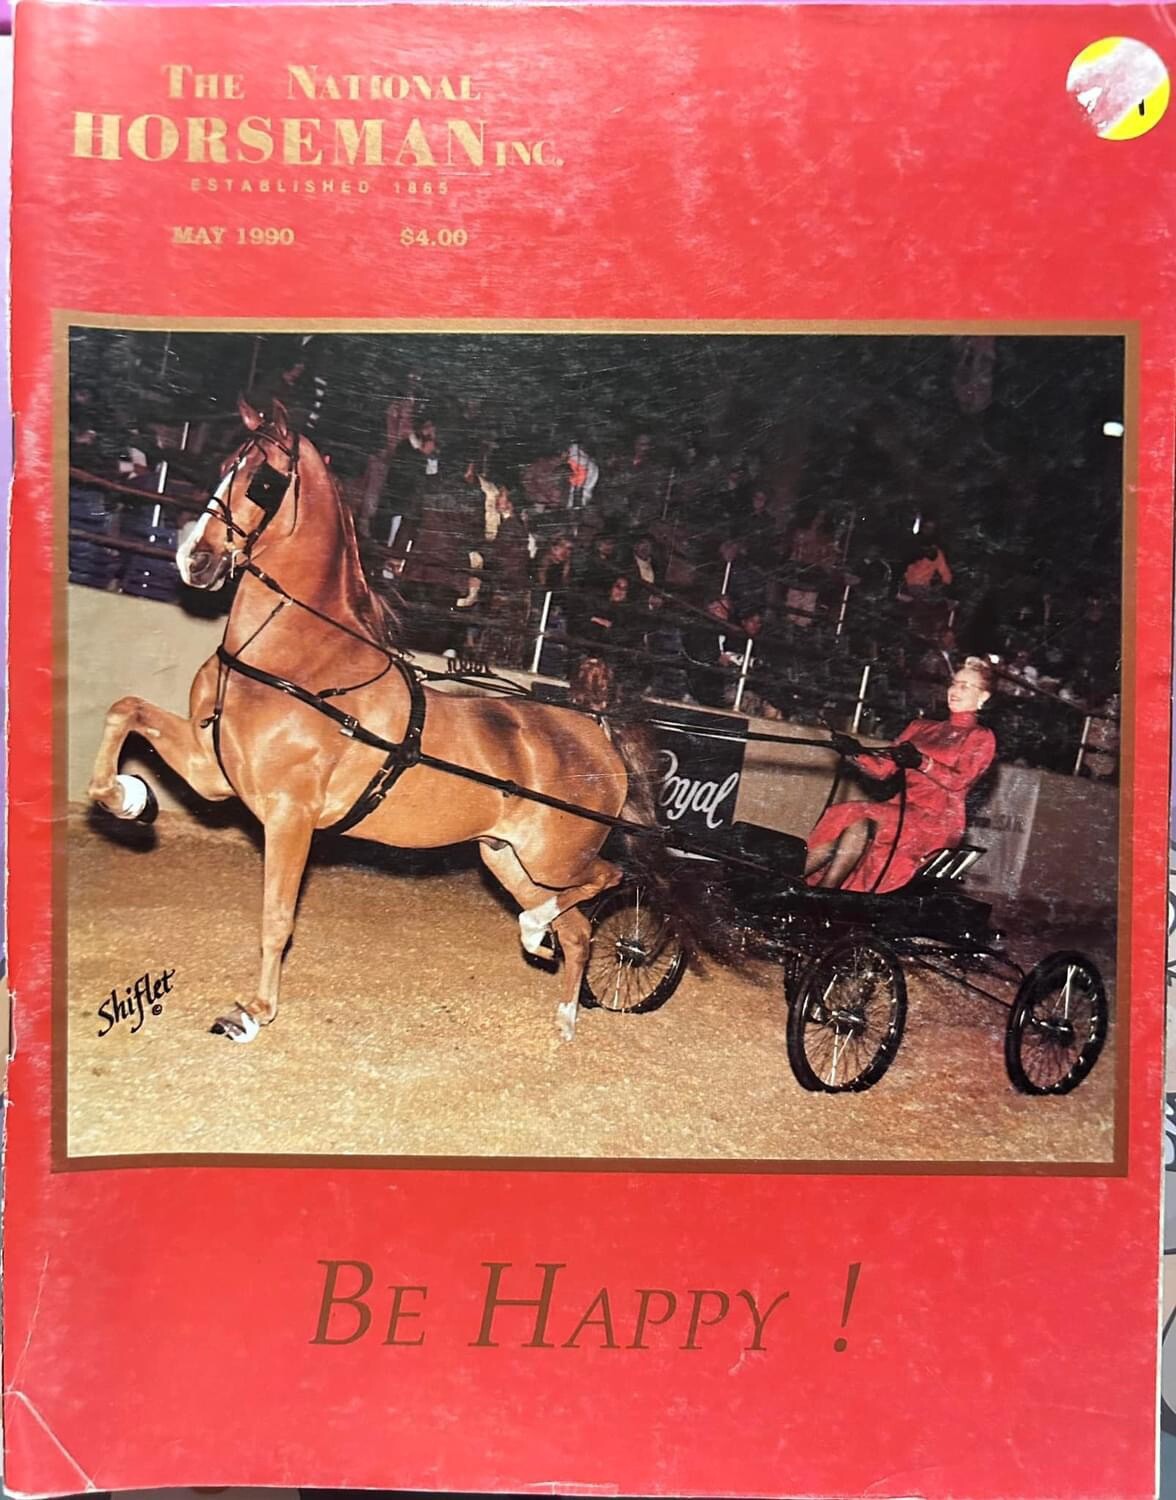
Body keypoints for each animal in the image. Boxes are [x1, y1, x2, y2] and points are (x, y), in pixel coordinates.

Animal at [87, 396, 684, 1044]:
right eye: (222, 465)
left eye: (262, 481)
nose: (193, 560)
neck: (294, 656)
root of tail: (595, 731)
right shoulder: (213, 770)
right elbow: (124, 709)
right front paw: (127, 797)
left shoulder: (290, 812)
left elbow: (277, 916)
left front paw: (253, 1012)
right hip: (507, 855)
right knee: (576, 931)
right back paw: (562, 1014)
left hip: (555, 857)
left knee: (607, 882)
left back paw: (541, 933)